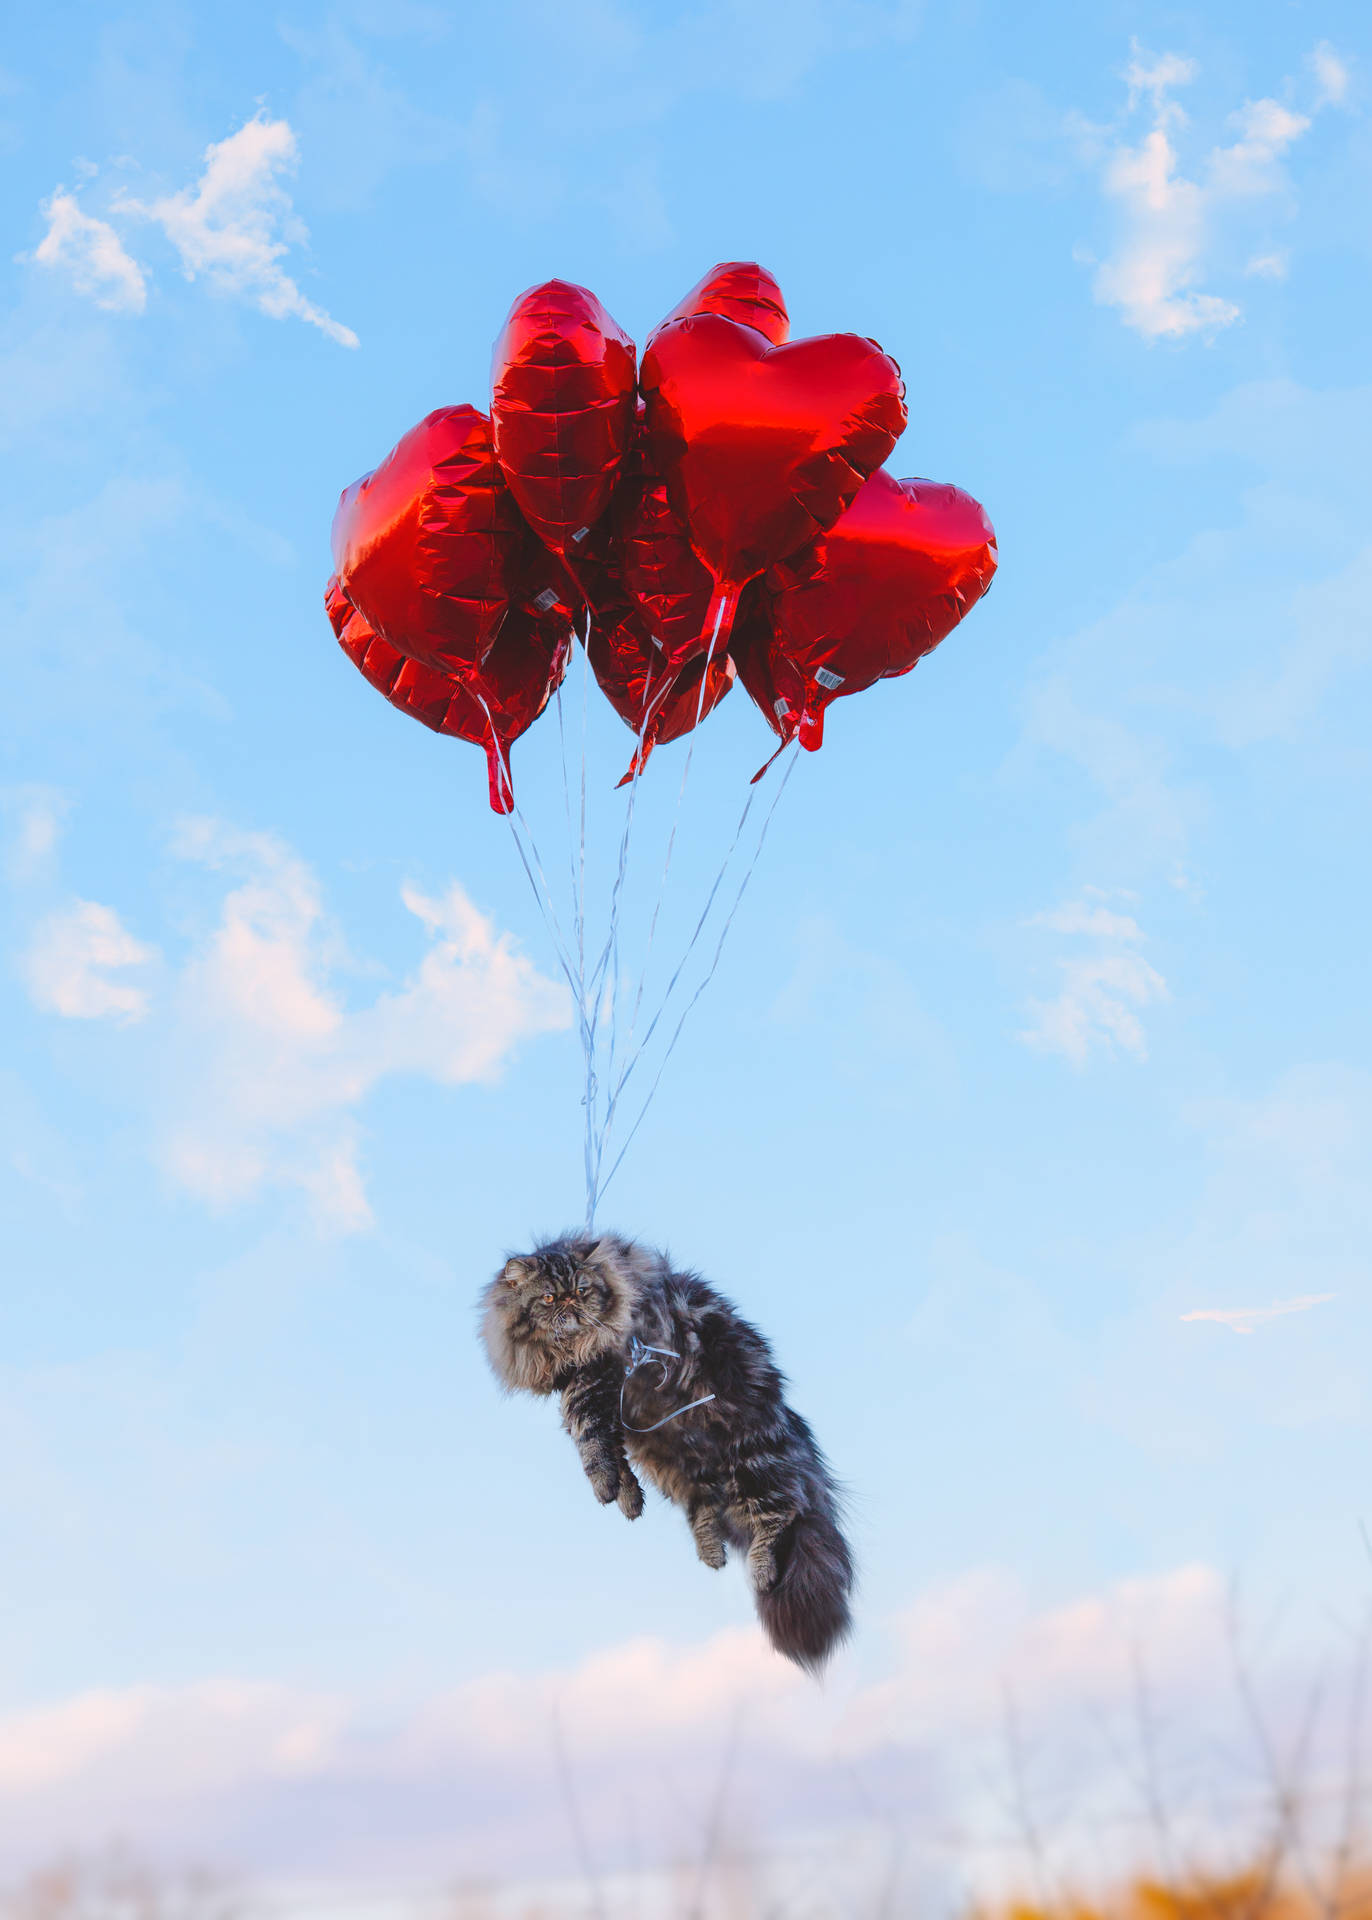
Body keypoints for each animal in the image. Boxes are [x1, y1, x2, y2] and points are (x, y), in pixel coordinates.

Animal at [477, 1236, 851, 1674]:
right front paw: (624, 1497)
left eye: (582, 1290)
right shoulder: (596, 1396)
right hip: (672, 1463)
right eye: (550, 1296)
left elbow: (592, 1438)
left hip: (750, 1456)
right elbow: (611, 1456)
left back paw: (760, 1571)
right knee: (704, 1508)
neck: (567, 1351)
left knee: (780, 1512)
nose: (571, 1305)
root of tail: (783, 1412)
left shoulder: (596, 1377)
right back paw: (711, 1555)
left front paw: (605, 1486)